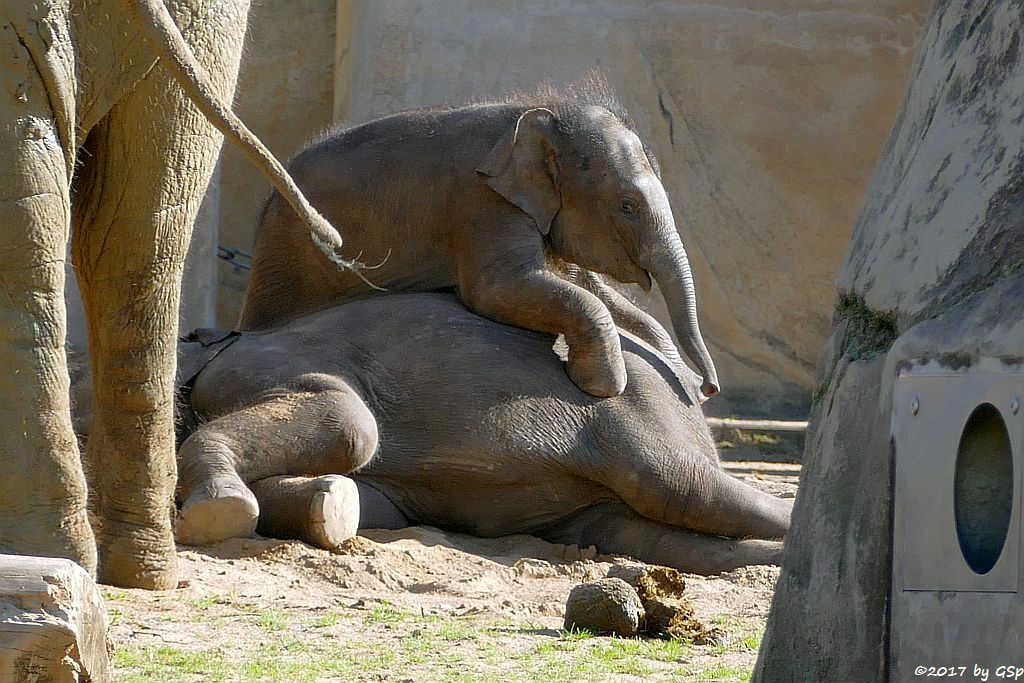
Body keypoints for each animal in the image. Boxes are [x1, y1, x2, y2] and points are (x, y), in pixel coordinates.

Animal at [239, 80, 720, 401]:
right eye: (627, 205)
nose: (710, 388)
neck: (538, 113)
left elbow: (595, 292)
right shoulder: (482, 204)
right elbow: (497, 291)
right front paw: (601, 386)